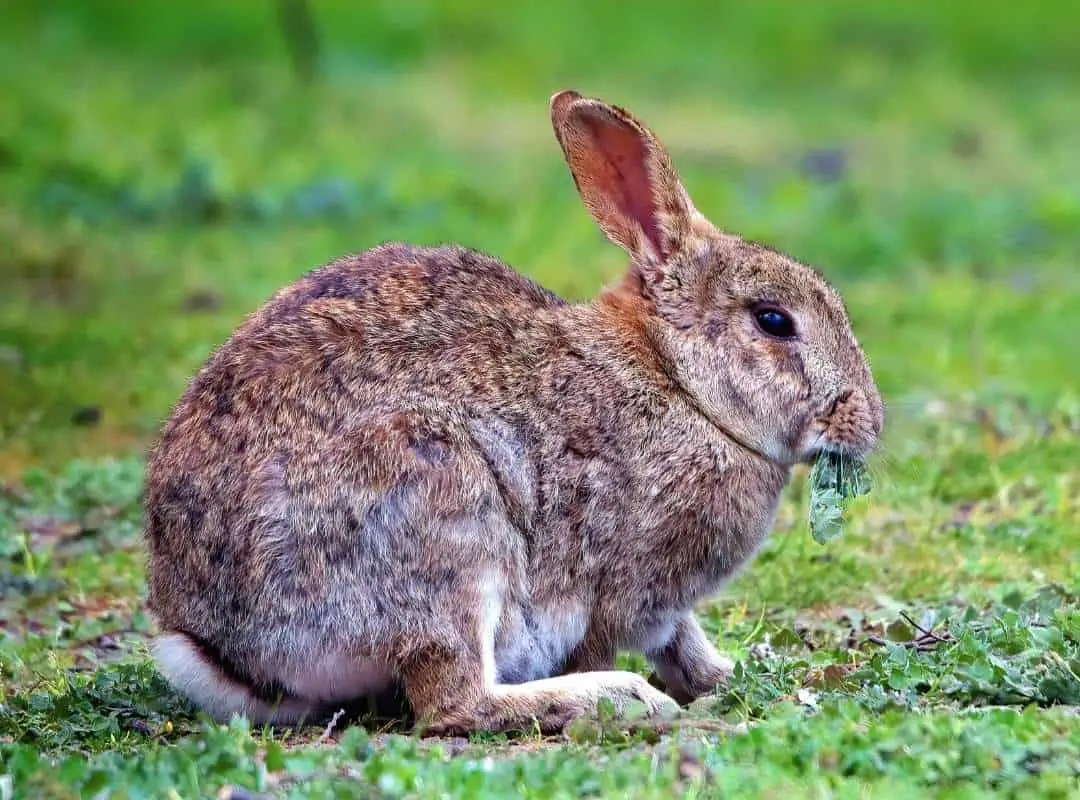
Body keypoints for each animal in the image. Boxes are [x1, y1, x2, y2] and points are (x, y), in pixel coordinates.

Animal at [143, 90, 885, 734]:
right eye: (773, 320)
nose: (869, 422)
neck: (679, 382)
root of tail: (220, 646)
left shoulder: (665, 607)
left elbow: (687, 644)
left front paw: (740, 676)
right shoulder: (615, 588)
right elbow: (615, 637)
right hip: (441, 508)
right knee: (455, 702)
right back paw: (614, 699)